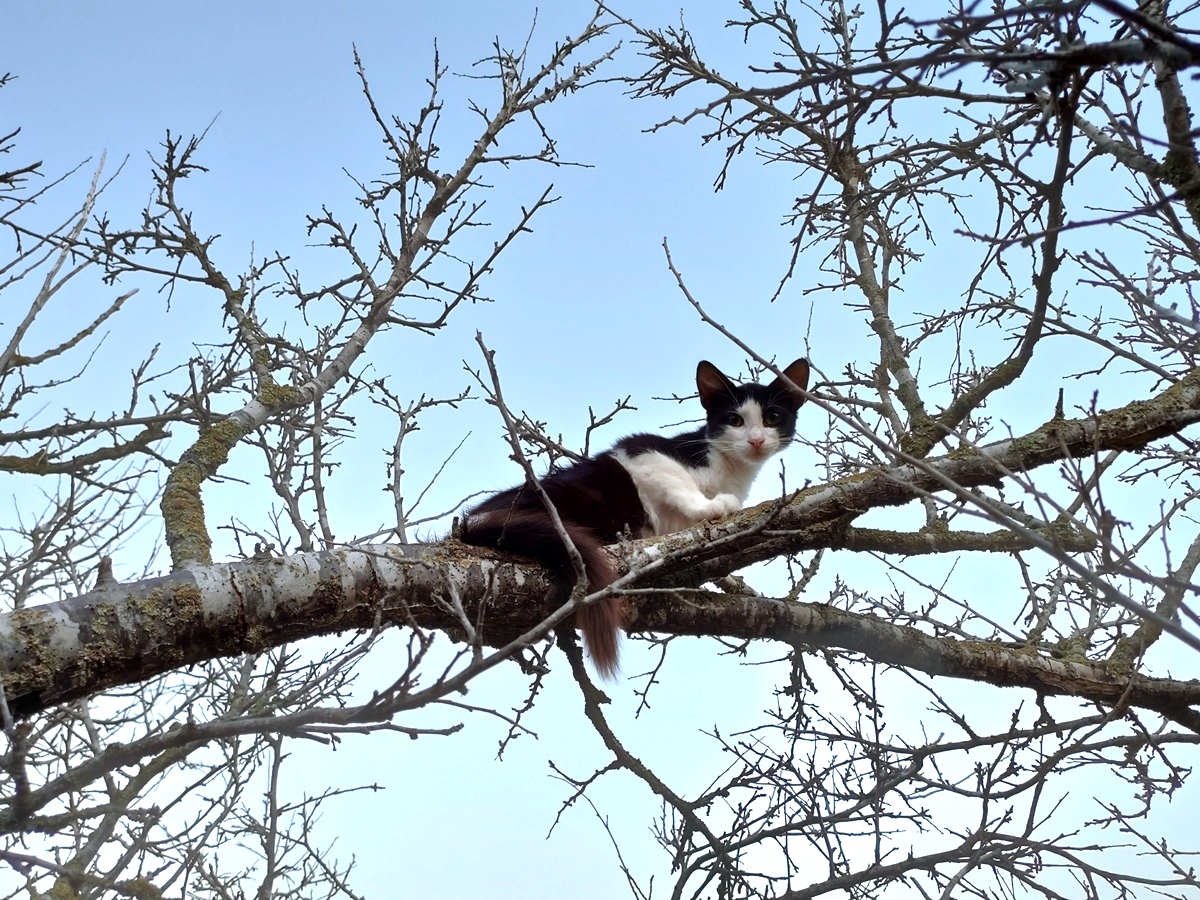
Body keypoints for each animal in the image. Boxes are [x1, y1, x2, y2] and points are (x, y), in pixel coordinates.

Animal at [460, 357, 810, 678]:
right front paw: (711, 506)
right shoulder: (642, 451)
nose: (756, 439)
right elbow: (677, 480)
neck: (730, 470)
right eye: (735, 420)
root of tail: (469, 522)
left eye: (772, 417)